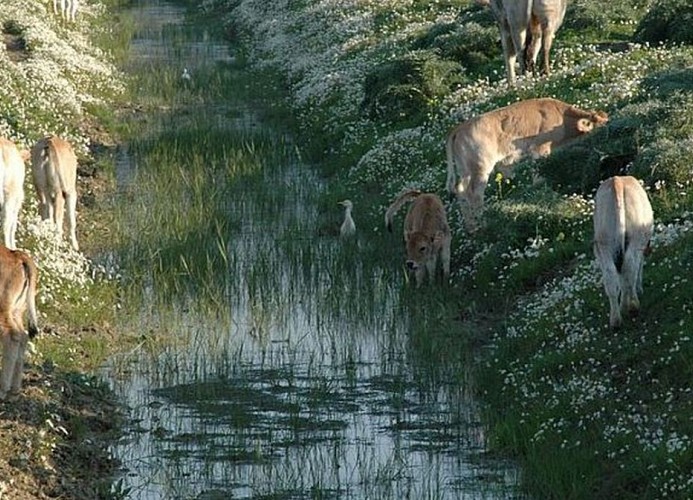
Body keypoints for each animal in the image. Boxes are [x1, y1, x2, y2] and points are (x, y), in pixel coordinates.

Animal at [444, 98, 604, 231]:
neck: (561, 117)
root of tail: (459, 128)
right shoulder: (540, 149)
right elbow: (538, 174)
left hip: (465, 170)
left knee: (461, 191)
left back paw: (472, 228)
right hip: (481, 168)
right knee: (475, 194)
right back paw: (483, 224)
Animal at [592, 174, 652, 330]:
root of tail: (617, 180)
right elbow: (637, 268)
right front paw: (638, 290)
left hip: (603, 243)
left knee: (611, 275)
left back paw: (616, 319)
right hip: (636, 237)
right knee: (630, 266)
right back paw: (632, 306)